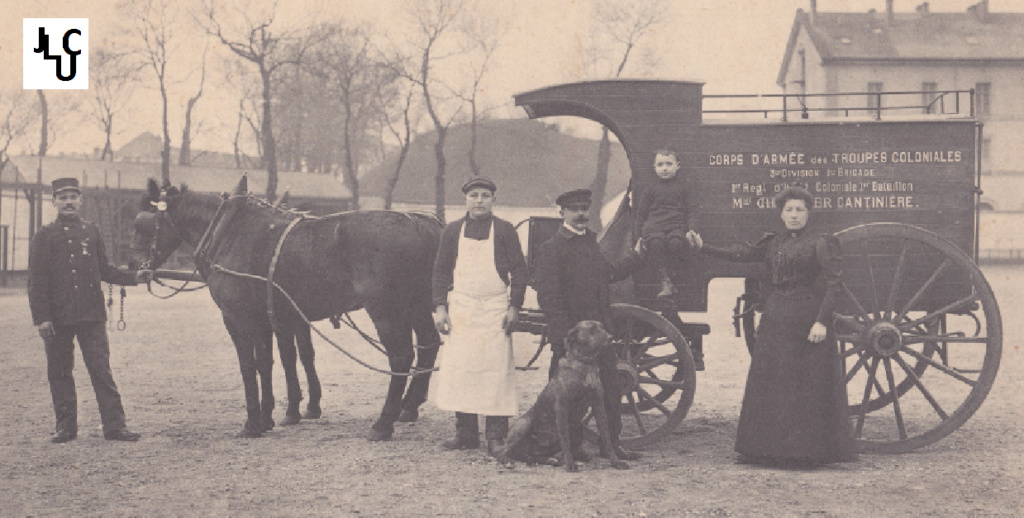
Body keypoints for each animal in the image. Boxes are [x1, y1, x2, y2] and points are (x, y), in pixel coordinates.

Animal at [130, 176, 442, 438]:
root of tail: (417, 223)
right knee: (429, 344)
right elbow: (268, 362)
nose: (136, 268)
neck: (229, 232)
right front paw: (269, 415)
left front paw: (253, 422)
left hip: (385, 310)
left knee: (401, 356)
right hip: (416, 306)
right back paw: (407, 407)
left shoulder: (238, 317)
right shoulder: (267, 317)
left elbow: (249, 365)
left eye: (142, 224)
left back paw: (383, 422)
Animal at [493, 319, 622, 468]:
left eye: (602, 327)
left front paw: (616, 461)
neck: (584, 363)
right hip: (524, 424)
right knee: (504, 451)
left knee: (532, 455)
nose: (611, 338)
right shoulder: (561, 407)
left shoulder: (598, 406)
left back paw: (550, 460)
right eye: (591, 329)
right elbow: (565, 439)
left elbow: (606, 437)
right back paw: (507, 460)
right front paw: (570, 464)